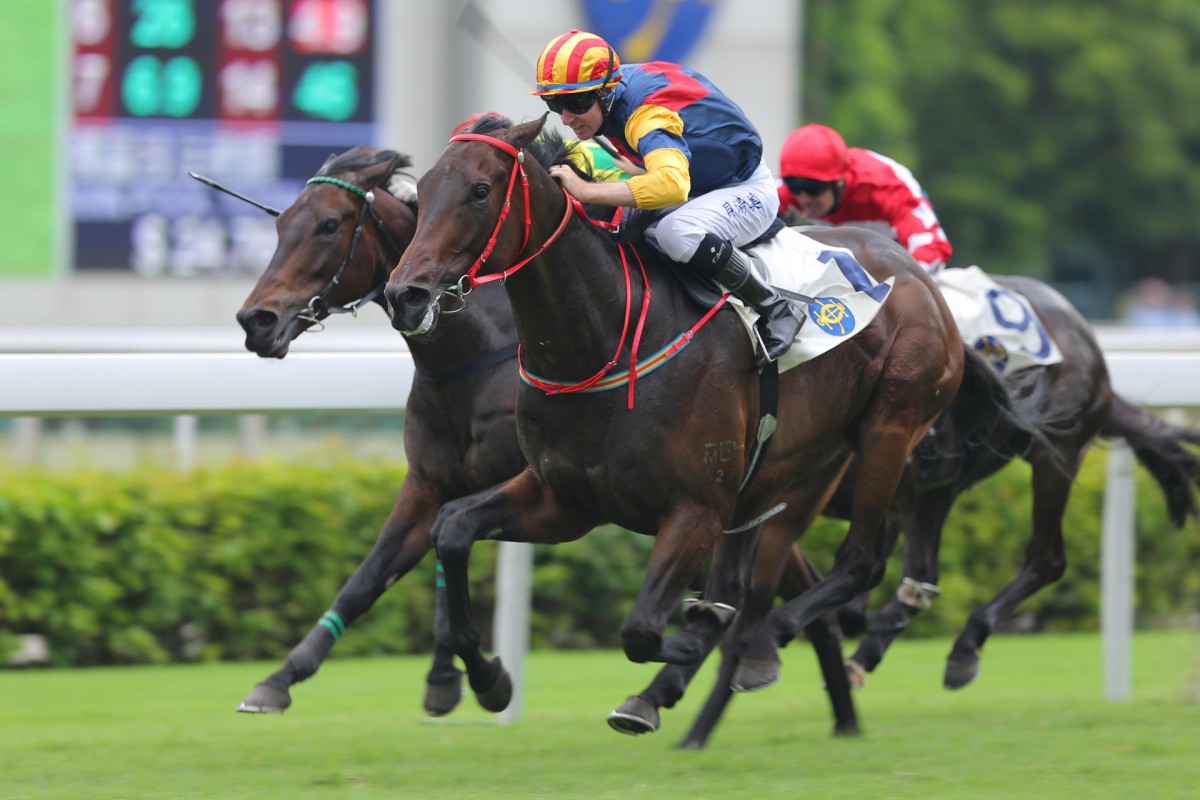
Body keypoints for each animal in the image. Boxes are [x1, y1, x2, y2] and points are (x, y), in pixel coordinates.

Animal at [384, 115, 974, 729]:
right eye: (422, 189)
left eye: (480, 191)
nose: (406, 295)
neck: (607, 340)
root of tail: (916, 273)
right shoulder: (563, 499)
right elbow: (452, 528)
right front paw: (489, 679)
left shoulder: (697, 507)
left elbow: (642, 628)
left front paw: (694, 636)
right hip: (789, 468)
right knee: (755, 577)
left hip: (889, 427)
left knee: (859, 563)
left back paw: (767, 637)